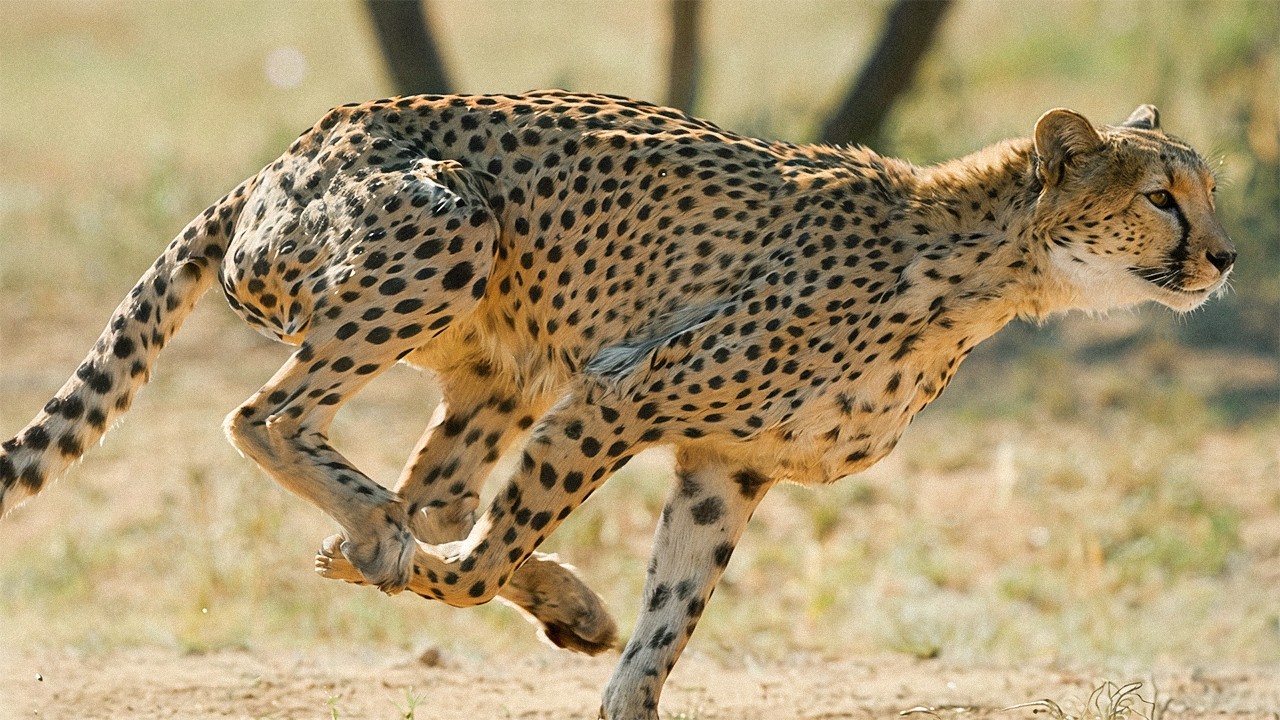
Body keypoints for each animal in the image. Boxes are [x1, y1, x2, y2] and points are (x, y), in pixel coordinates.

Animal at [0, 91, 1234, 719]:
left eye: (1210, 189)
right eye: (1160, 197)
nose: (1223, 257)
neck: (980, 274)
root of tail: (285, 154)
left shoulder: (725, 468)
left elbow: (662, 629)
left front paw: (611, 653)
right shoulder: (628, 392)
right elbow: (482, 566)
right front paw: (394, 572)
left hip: (501, 367)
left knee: (438, 492)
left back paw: (543, 592)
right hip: (450, 226)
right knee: (272, 422)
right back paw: (381, 543)